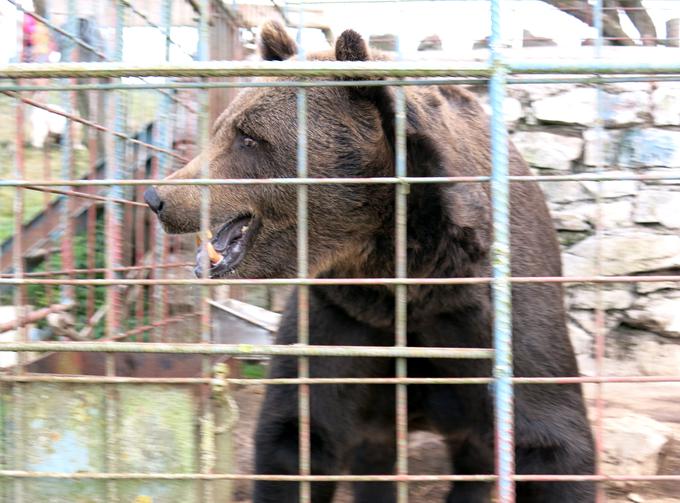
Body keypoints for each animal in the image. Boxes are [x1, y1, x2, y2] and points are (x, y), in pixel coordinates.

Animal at [145, 20, 596, 503]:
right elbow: (298, 435)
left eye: (249, 137)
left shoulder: (490, 308)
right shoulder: (344, 313)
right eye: (222, 129)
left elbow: (550, 440)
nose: (158, 197)